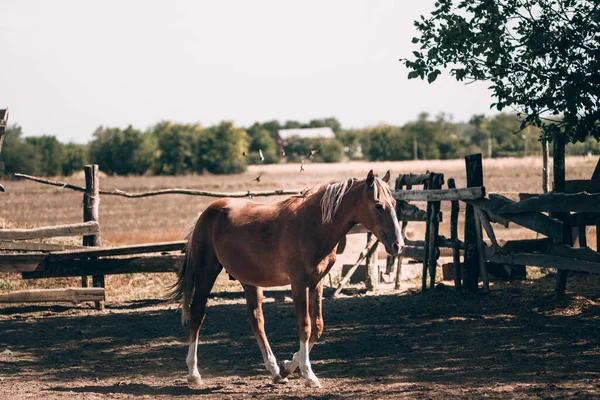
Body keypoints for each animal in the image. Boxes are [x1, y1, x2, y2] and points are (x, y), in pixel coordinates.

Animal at [170, 170, 404, 388]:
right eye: (378, 205)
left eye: (393, 203)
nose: (398, 245)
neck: (314, 225)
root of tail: (207, 213)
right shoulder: (299, 283)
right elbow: (305, 325)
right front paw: (309, 375)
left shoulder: (317, 282)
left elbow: (317, 326)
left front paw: (287, 367)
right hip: (206, 272)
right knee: (197, 313)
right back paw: (193, 373)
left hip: (249, 279)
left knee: (256, 318)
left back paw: (274, 370)